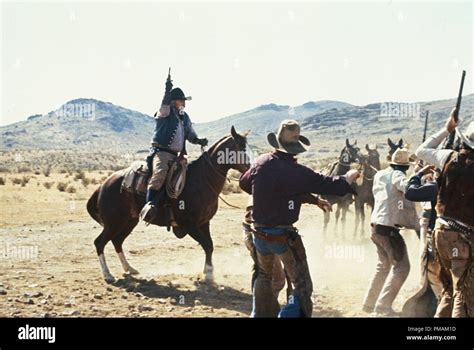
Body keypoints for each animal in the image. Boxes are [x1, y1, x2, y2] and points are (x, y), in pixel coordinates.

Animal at [86, 127, 250, 284]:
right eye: (240, 147)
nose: (249, 167)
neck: (202, 180)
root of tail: (103, 185)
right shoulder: (189, 224)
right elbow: (207, 245)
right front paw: (208, 275)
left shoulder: (204, 223)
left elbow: (209, 245)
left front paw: (208, 273)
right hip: (114, 222)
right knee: (99, 242)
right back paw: (108, 275)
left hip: (129, 221)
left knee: (117, 241)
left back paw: (130, 269)